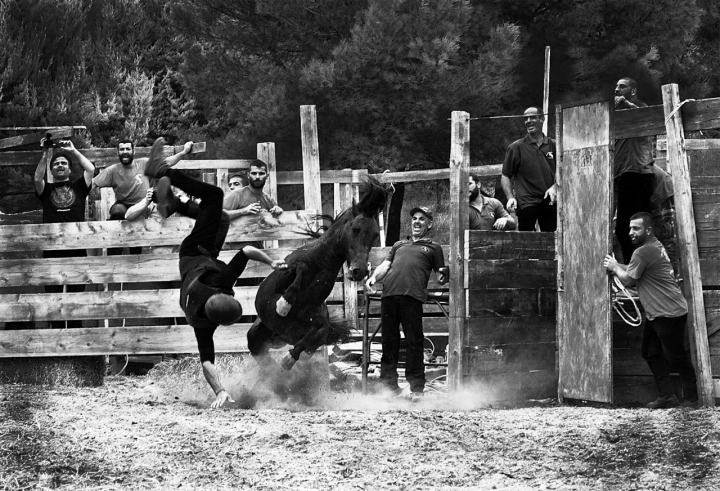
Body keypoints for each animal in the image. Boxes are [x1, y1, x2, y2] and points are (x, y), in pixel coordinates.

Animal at [250, 177, 390, 368]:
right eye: (355, 229)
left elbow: (309, 339)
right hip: (256, 334)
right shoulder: (279, 282)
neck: (319, 265)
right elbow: (300, 268)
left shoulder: (317, 330)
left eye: (375, 234)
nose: (359, 270)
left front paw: (289, 359)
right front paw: (284, 304)